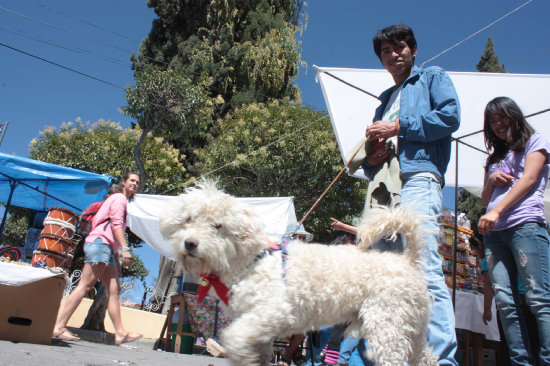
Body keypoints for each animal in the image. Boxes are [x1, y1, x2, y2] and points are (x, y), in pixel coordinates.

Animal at [160, 182, 440, 364]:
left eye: (218, 226)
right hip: (410, 325)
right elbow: (260, 351)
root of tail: (407, 260)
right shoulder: (259, 324)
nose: (190, 243)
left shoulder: (274, 311)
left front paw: (239, 354)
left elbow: (235, 336)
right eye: (188, 219)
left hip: (386, 321)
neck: (250, 260)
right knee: (425, 356)